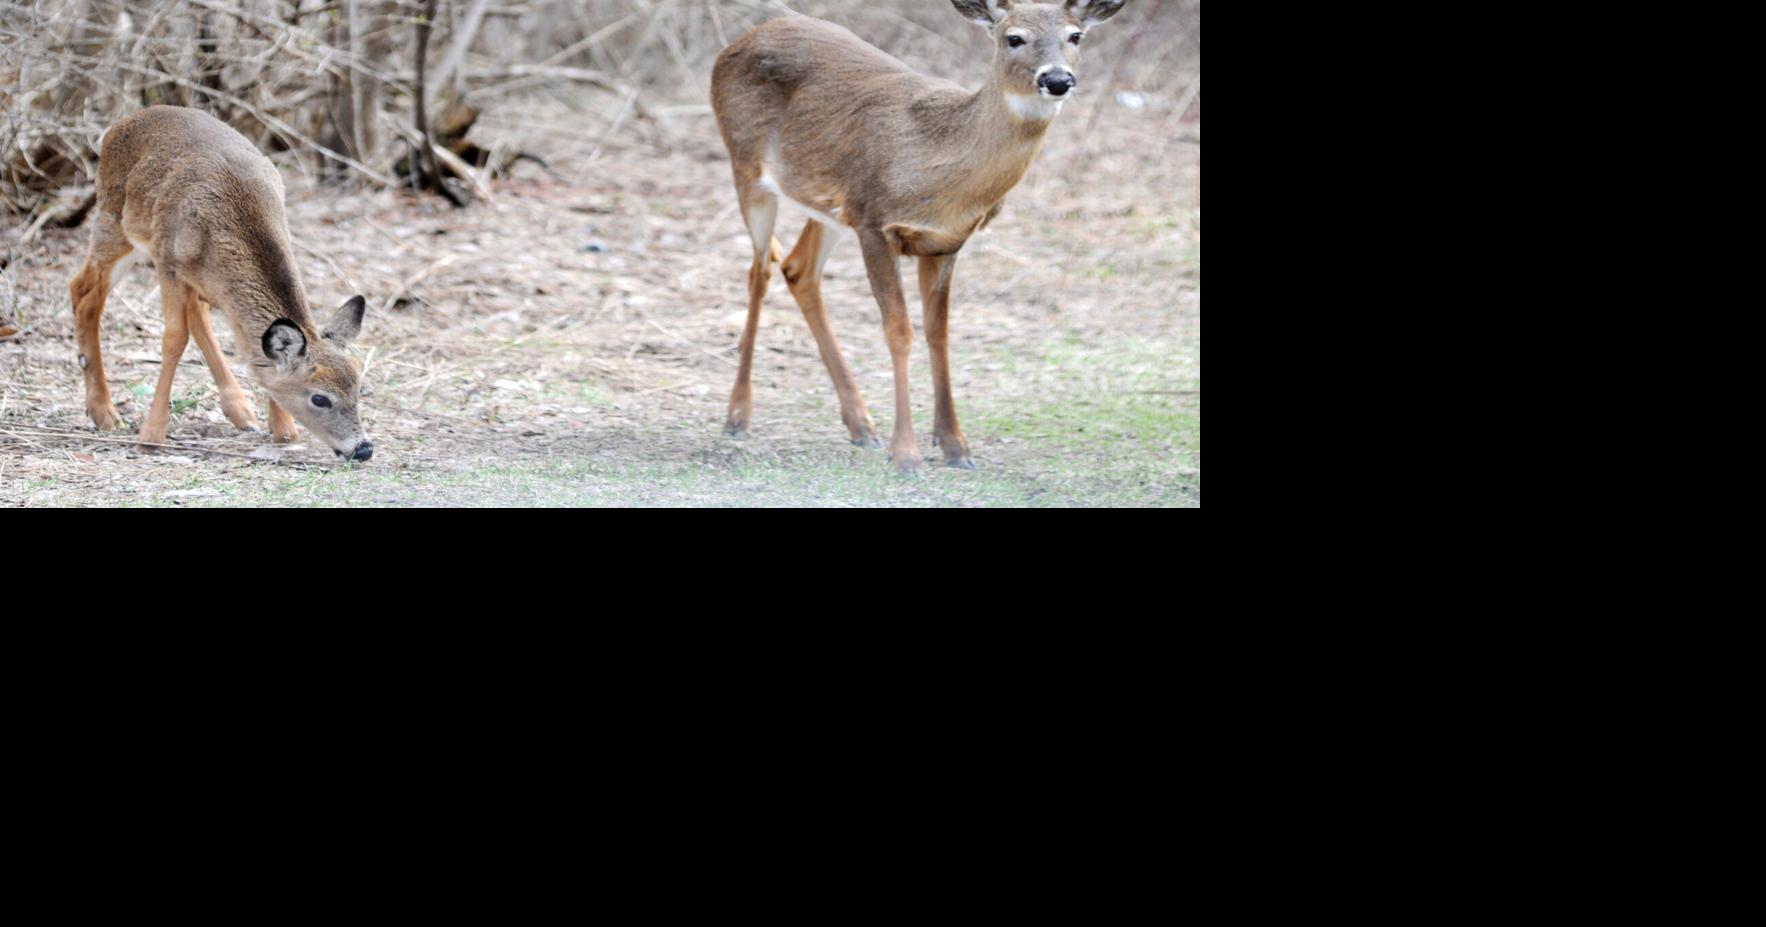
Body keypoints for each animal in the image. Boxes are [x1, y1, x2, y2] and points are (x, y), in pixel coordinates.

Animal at [66, 106, 376, 462]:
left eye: (360, 388)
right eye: (320, 398)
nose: (363, 449)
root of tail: (118, 125)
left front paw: (283, 428)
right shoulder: (168, 262)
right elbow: (174, 338)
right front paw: (151, 436)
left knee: (197, 315)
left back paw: (241, 412)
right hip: (114, 222)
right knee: (83, 289)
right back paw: (104, 412)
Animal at [711, 0, 1127, 474]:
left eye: (1076, 36)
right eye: (1014, 37)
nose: (1057, 79)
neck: (938, 169)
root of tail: (743, 39)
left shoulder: (944, 242)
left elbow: (937, 333)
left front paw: (955, 445)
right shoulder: (874, 223)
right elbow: (899, 330)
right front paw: (906, 452)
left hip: (828, 204)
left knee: (798, 268)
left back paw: (860, 424)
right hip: (747, 168)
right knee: (760, 269)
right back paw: (738, 417)